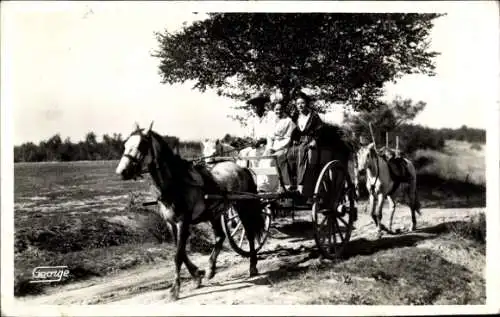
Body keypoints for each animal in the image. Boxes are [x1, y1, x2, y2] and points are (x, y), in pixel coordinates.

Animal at [115, 123, 268, 298]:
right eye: (125, 144)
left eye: (142, 145)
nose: (121, 172)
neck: (176, 184)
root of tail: (241, 168)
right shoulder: (171, 223)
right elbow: (181, 252)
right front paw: (196, 275)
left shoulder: (183, 221)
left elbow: (178, 255)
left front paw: (175, 289)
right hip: (214, 213)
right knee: (220, 237)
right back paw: (210, 269)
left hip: (242, 207)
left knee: (249, 234)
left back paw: (252, 266)